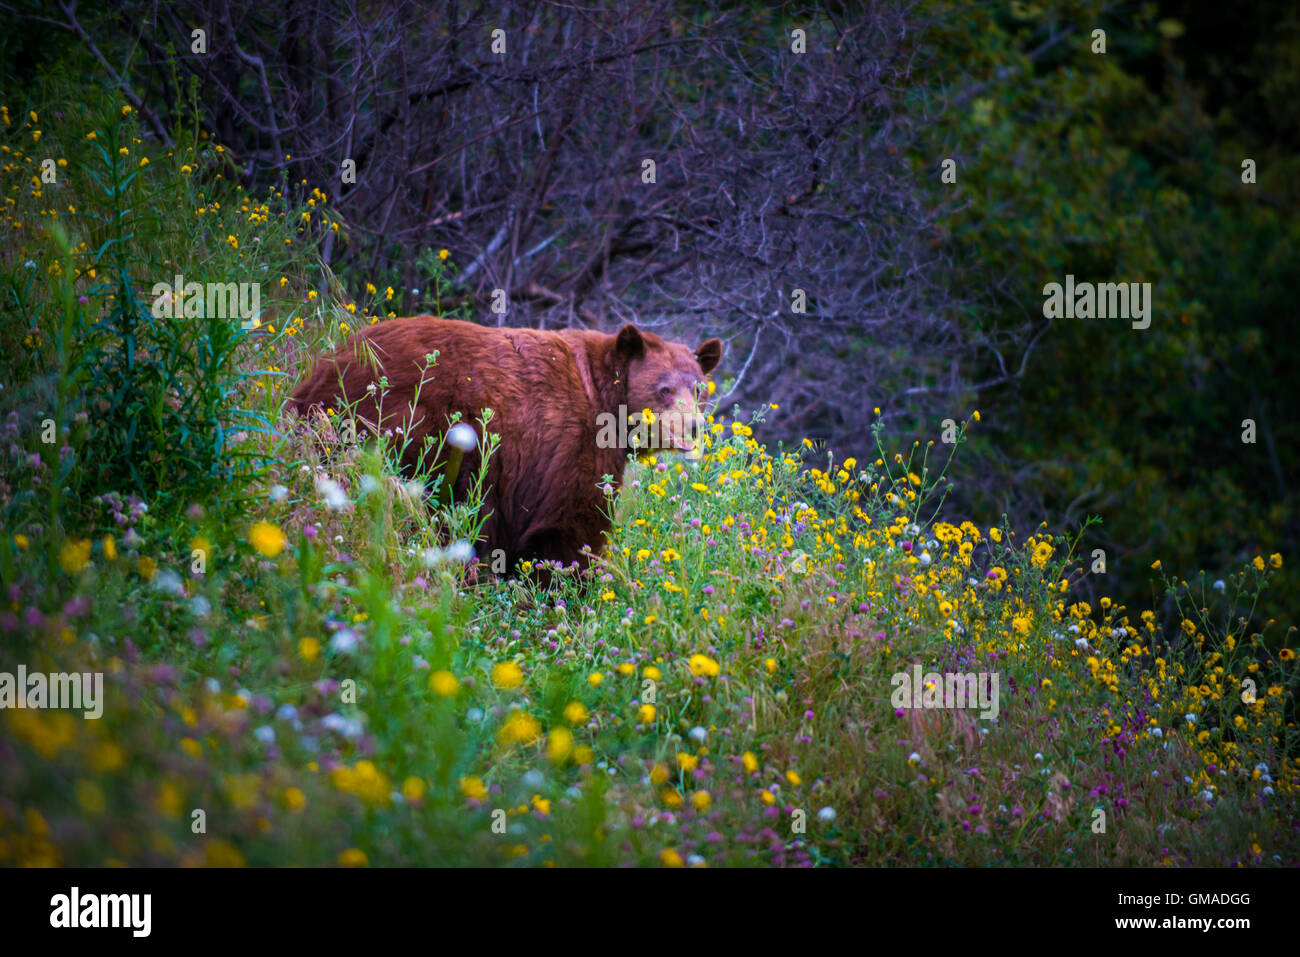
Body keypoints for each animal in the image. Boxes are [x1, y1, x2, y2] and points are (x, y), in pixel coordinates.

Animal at [287, 314, 722, 572]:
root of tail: (324, 372)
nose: (693, 427)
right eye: (664, 388)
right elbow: (571, 525)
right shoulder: (568, 445)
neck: (604, 398)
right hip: (409, 427)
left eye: (698, 387)